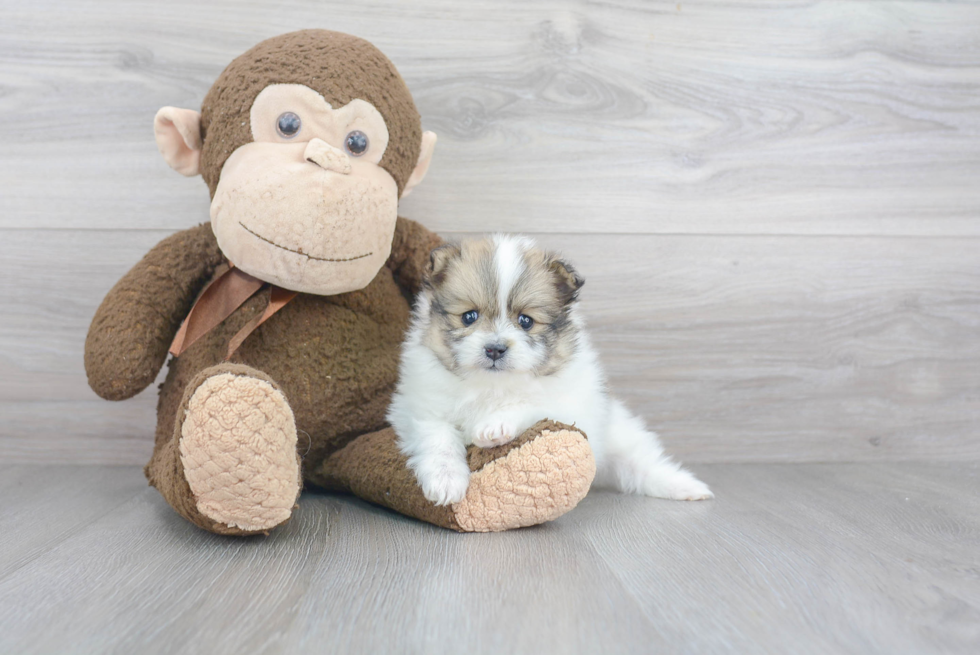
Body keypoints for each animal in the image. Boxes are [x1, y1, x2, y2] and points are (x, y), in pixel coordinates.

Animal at [386, 236, 716, 508]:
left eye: (526, 321)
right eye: (469, 317)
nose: (495, 349)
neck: (491, 386)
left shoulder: (567, 405)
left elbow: (530, 406)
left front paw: (495, 426)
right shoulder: (421, 407)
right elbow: (438, 438)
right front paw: (446, 482)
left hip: (620, 436)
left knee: (645, 464)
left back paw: (686, 487)